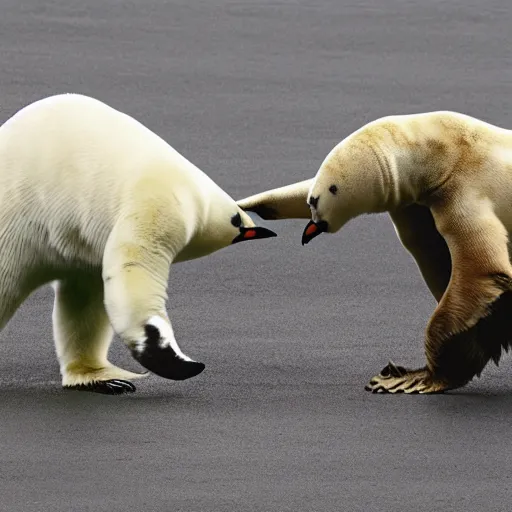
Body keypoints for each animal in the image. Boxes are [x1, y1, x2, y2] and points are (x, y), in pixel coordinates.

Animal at [0, 93, 276, 396]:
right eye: (236, 221)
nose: (262, 231)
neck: (191, 192)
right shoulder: (157, 207)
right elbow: (135, 266)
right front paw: (182, 363)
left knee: (82, 300)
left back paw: (105, 379)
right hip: (14, 225)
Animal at [239, 110, 512, 394]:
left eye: (320, 198)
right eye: (310, 202)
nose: (310, 229)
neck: (441, 151)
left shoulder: (461, 189)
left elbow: (484, 271)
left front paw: (416, 376)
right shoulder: (417, 201)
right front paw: (247, 204)